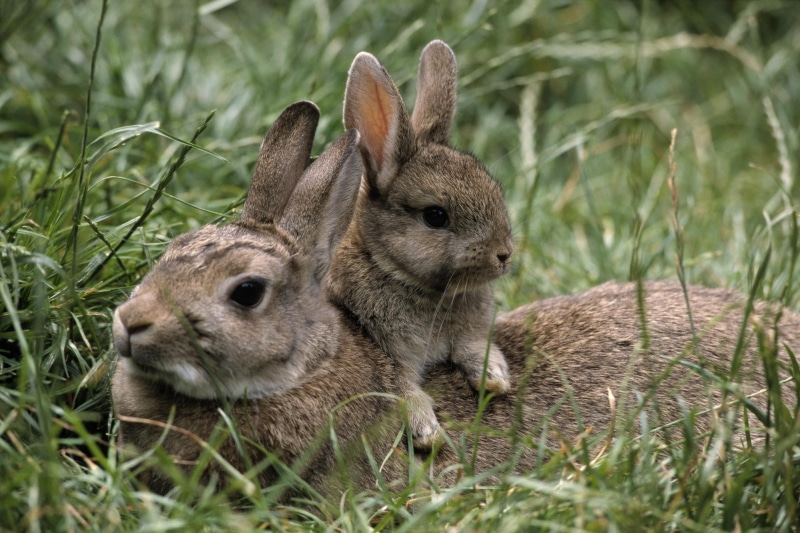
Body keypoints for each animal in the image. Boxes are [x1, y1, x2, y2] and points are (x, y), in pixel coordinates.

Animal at [325, 40, 515, 449]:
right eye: (435, 216)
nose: (504, 255)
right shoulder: (385, 351)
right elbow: (402, 387)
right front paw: (428, 432)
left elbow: (472, 345)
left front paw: (494, 377)